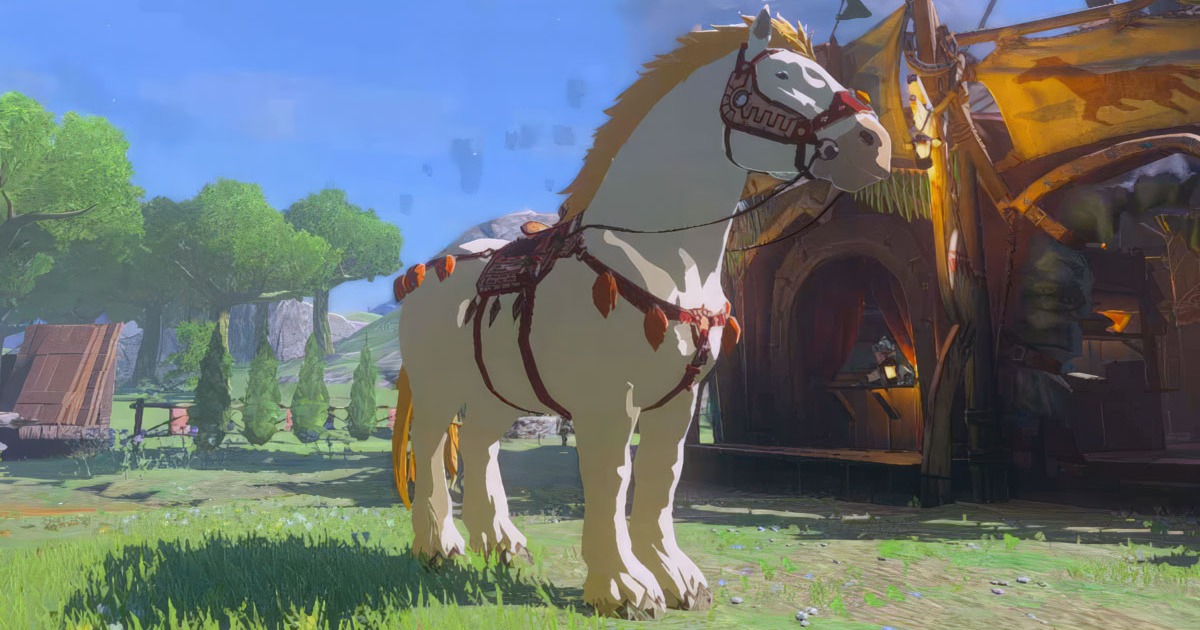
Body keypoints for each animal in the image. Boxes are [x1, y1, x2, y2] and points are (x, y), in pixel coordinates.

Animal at [391, 7, 891, 619]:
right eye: (785, 76)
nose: (875, 144)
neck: (661, 259)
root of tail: (425, 271)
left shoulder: (678, 402)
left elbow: (661, 477)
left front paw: (677, 579)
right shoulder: (607, 404)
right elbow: (612, 479)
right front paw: (622, 586)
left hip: (498, 391)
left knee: (483, 445)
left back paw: (502, 546)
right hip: (438, 390)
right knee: (432, 449)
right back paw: (440, 545)